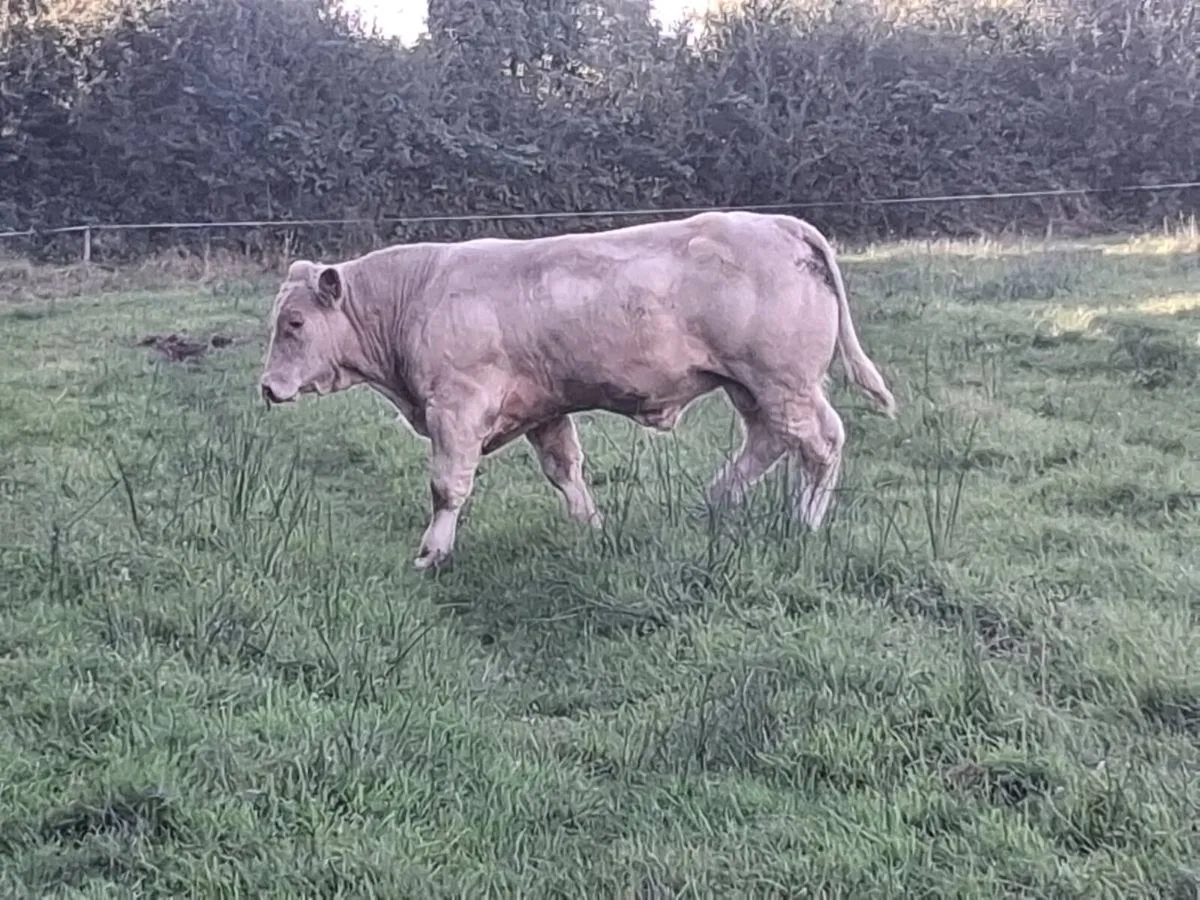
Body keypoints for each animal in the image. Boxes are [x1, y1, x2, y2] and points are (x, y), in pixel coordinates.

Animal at [259, 211, 897, 570]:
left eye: (294, 323)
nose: (266, 387)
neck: (418, 294)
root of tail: (781, 223)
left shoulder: (455, 410)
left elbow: (447, 487)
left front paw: (431, 553)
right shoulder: (544, 409)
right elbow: (565, 470)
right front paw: (592, 528)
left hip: (783, 380)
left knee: (820, 443)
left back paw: (805, 522)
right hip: (753, 386)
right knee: (768, 442)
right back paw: (715, 501)